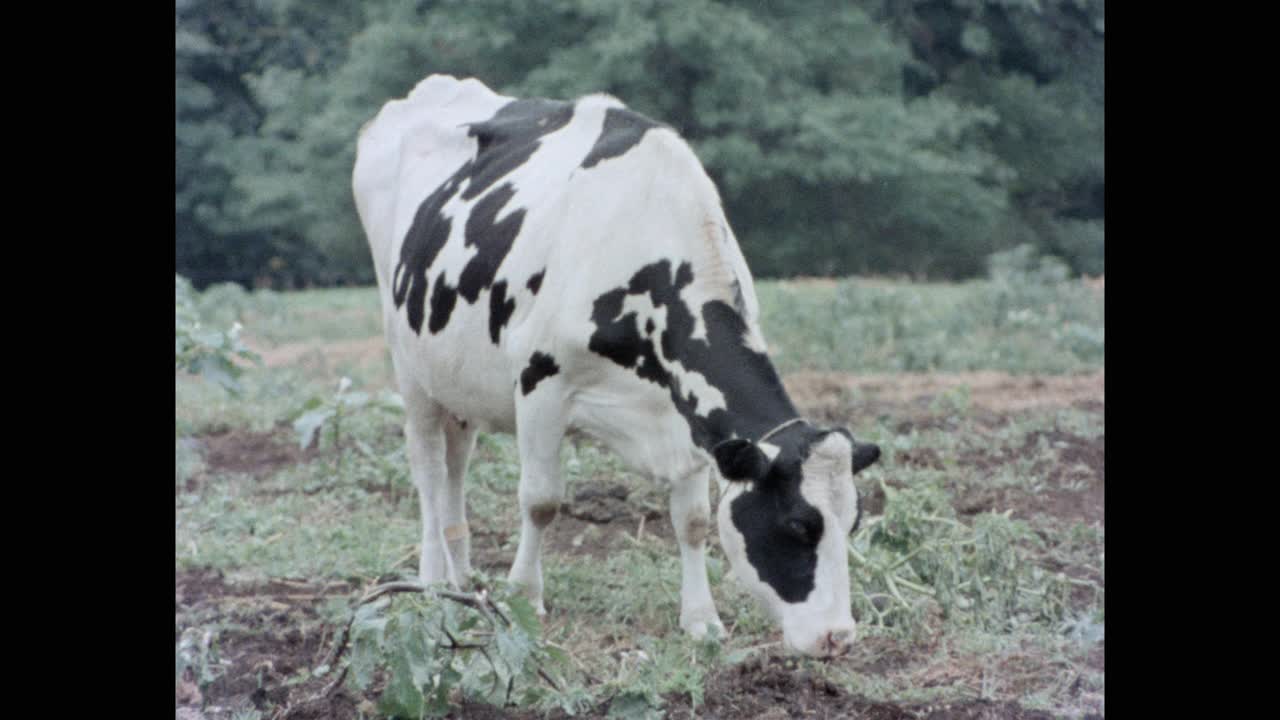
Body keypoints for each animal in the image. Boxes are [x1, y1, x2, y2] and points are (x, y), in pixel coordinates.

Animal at [355, 74, 885, 655]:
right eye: (797, 526)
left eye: (852, 523)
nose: (838, 637)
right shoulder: (539, 385)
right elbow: (540, 502)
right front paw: (525, 598)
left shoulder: (688, 415)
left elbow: (693, 518)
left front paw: (701, 619)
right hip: (409, 365)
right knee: (428, 471)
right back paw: (430, 584)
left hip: (457, 378)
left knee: (455, 466)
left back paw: (462, 580)